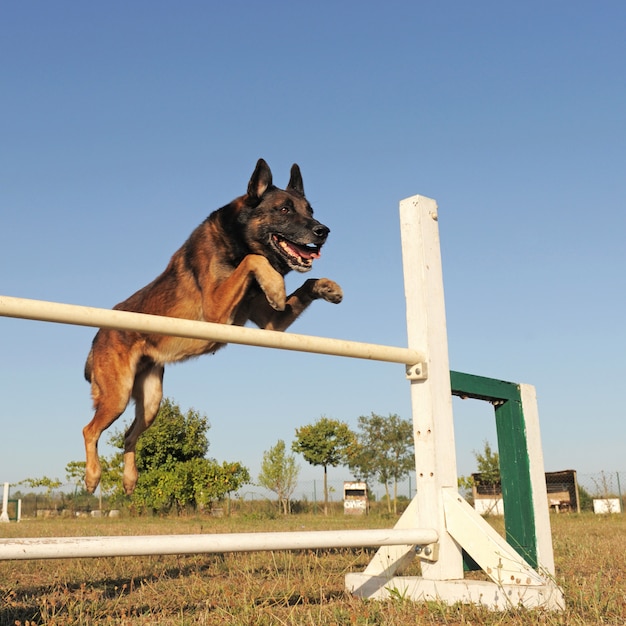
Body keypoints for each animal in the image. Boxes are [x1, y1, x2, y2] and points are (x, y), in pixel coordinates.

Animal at [83, 160, 342, 492]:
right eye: (284, 209)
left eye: (310, 210)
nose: (323, 231)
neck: (237, 238)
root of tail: (98, 336)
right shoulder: (216, 311)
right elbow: (254, 261)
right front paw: (275, 284)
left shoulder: (271, 323)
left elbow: (303, 282)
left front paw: (326, 287)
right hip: (117, 396)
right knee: (89, 430)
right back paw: (92, 475)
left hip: (151, 401)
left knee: (129, 436)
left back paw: (130, 479)